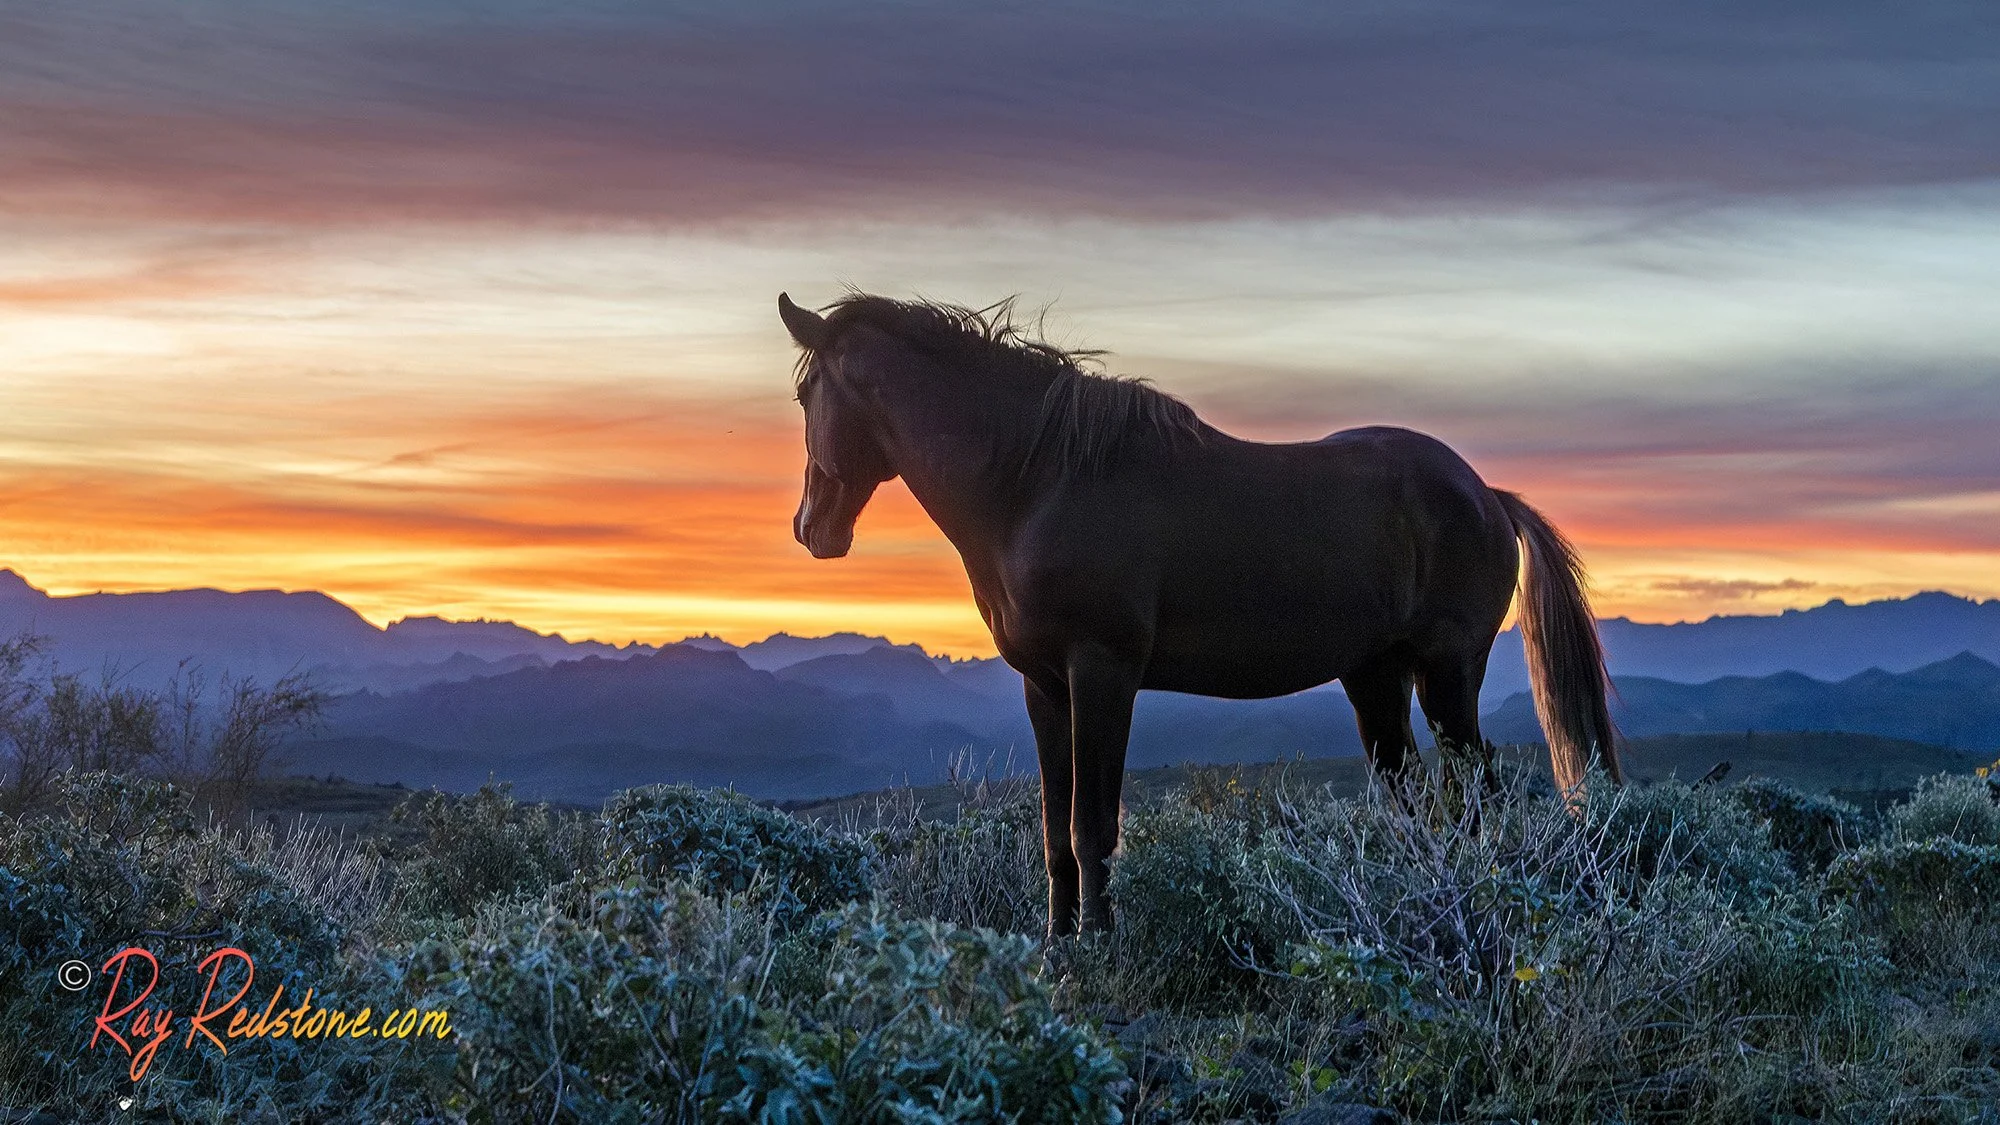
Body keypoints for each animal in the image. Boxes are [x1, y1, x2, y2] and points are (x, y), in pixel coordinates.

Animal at [778, 291, 1621, 936]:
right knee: (1412, 800)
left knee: (1473, 795)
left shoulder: (1103, 673)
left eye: (804, 395)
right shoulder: (1045, 686)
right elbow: (1055, 833)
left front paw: (1100, 951)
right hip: (1375, 680)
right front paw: (1055, 952)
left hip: (1448, 675)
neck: (1035, 483)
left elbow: (1093, 826)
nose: (810, 529)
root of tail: (1487, 494)